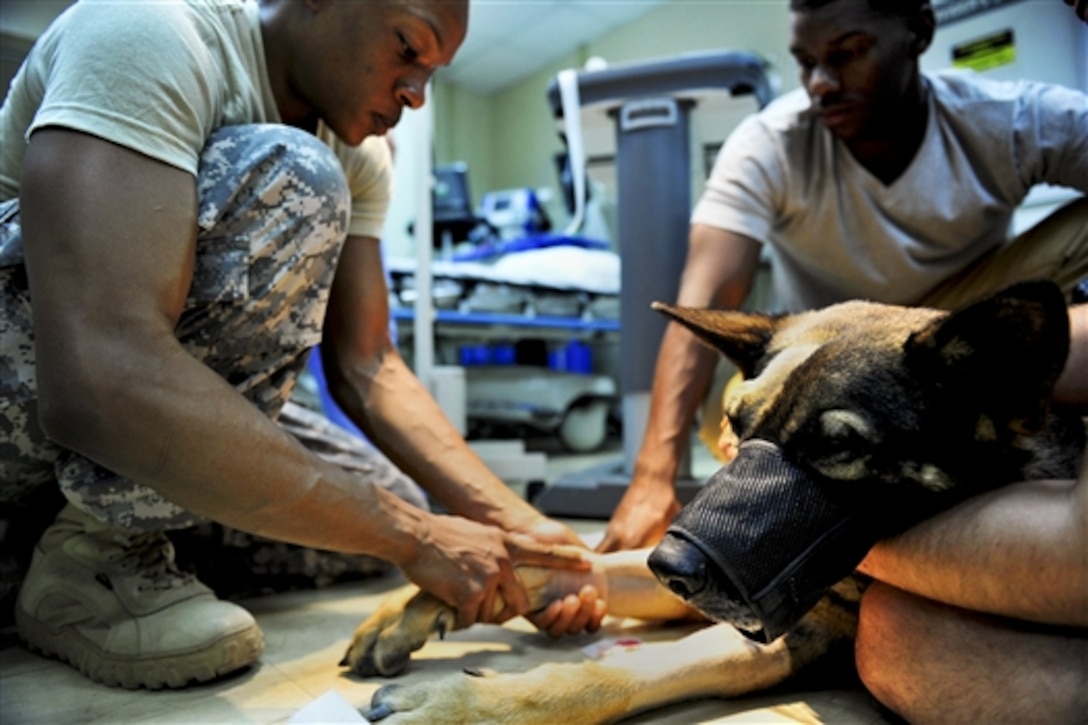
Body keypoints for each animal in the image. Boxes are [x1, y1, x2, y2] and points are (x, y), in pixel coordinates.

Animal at [337, 278, 1079, 718]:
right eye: (736, 425)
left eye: (837, 446)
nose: (673, 565)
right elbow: (566, 563)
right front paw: (427, 596)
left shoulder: (780, 628)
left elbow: (623, 672)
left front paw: (468, 705)